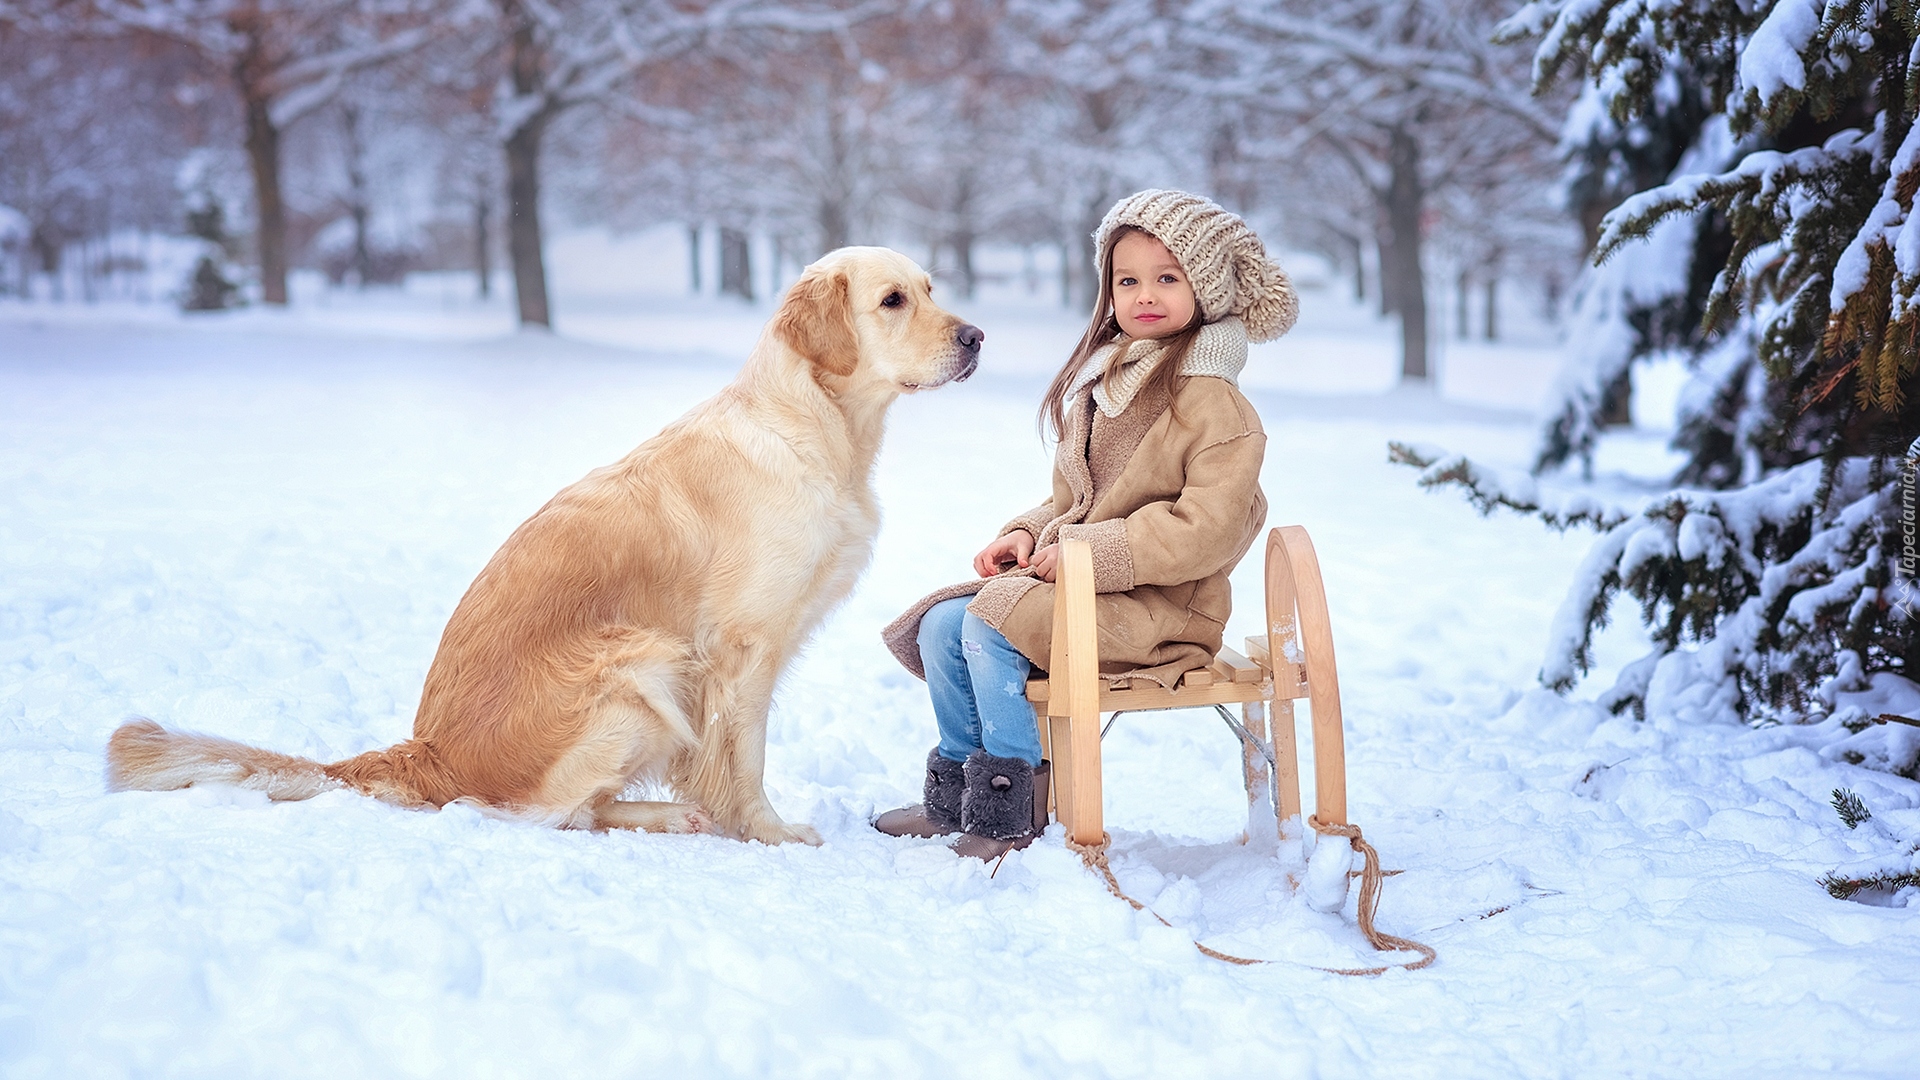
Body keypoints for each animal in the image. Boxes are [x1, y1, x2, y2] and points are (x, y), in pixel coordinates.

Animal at [103, 245, 983, 841]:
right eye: (893, 300)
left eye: (931, 291)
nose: (977, 337)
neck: (811, 423)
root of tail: (425, 749)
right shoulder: (737, 651)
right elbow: (745, 760)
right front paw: (768, 832)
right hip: (640, 665)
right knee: (543, 816)